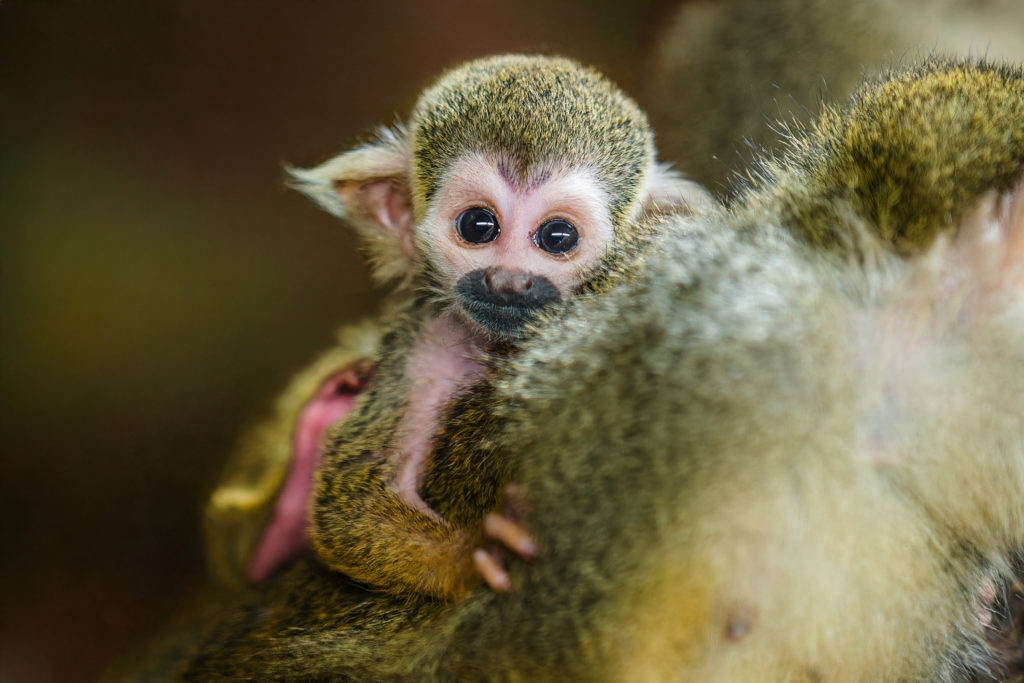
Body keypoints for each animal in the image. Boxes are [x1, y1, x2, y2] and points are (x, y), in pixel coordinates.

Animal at [258, 54, 712, 598]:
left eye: (558, 237)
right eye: (478, 225)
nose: (508, 281)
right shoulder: (425, 337)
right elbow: (351, 505)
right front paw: (478, 552)